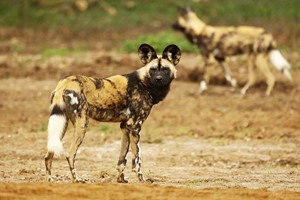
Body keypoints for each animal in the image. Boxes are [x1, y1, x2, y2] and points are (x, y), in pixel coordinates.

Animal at [44, 43, 180, 183]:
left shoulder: (125, 126)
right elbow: (137, 160)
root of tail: (65, 82)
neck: (145, 83)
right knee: (70, 155)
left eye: (165, 69)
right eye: (153, 70)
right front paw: (142, 179)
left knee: (48, 155)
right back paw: (77, 179)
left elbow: (122, 159)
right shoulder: (135, 127)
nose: (158, 79)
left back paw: (50, 181)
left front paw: (121, 179)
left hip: (62, 125)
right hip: (82, 124)